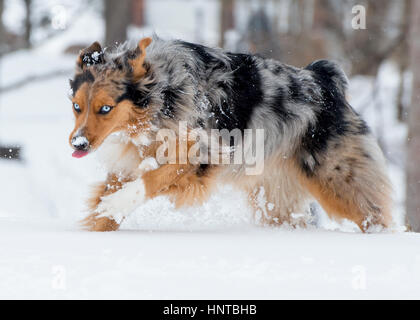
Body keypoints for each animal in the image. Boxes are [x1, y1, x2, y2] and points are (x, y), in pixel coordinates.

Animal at [67, 36, 392, 231]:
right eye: (76, 106)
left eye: (105, 108)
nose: (78, 143)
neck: (164, 94)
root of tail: (323, 80)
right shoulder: (129, 163)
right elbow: (110, 200)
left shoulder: (204, 155)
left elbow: (152, 180)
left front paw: (117, 203)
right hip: (275, 198)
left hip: (338, 179)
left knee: (376, 216)